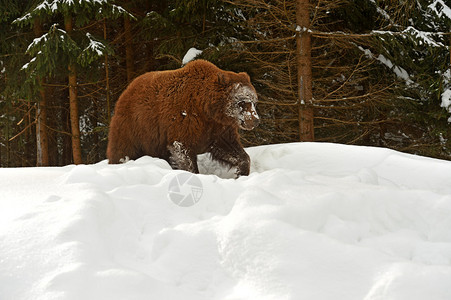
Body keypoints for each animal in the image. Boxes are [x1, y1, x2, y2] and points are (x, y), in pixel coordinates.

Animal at [106, 59, 260, 176]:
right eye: (242, 102)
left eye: (254, 101)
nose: (255, 120)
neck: (207, 109)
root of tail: (126, 91)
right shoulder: (184, 120)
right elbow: (183, 150)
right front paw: (193, 173)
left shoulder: (218, 128)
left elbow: (231, 149)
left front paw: (241, 171)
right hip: (134, 127)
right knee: (122, 150)